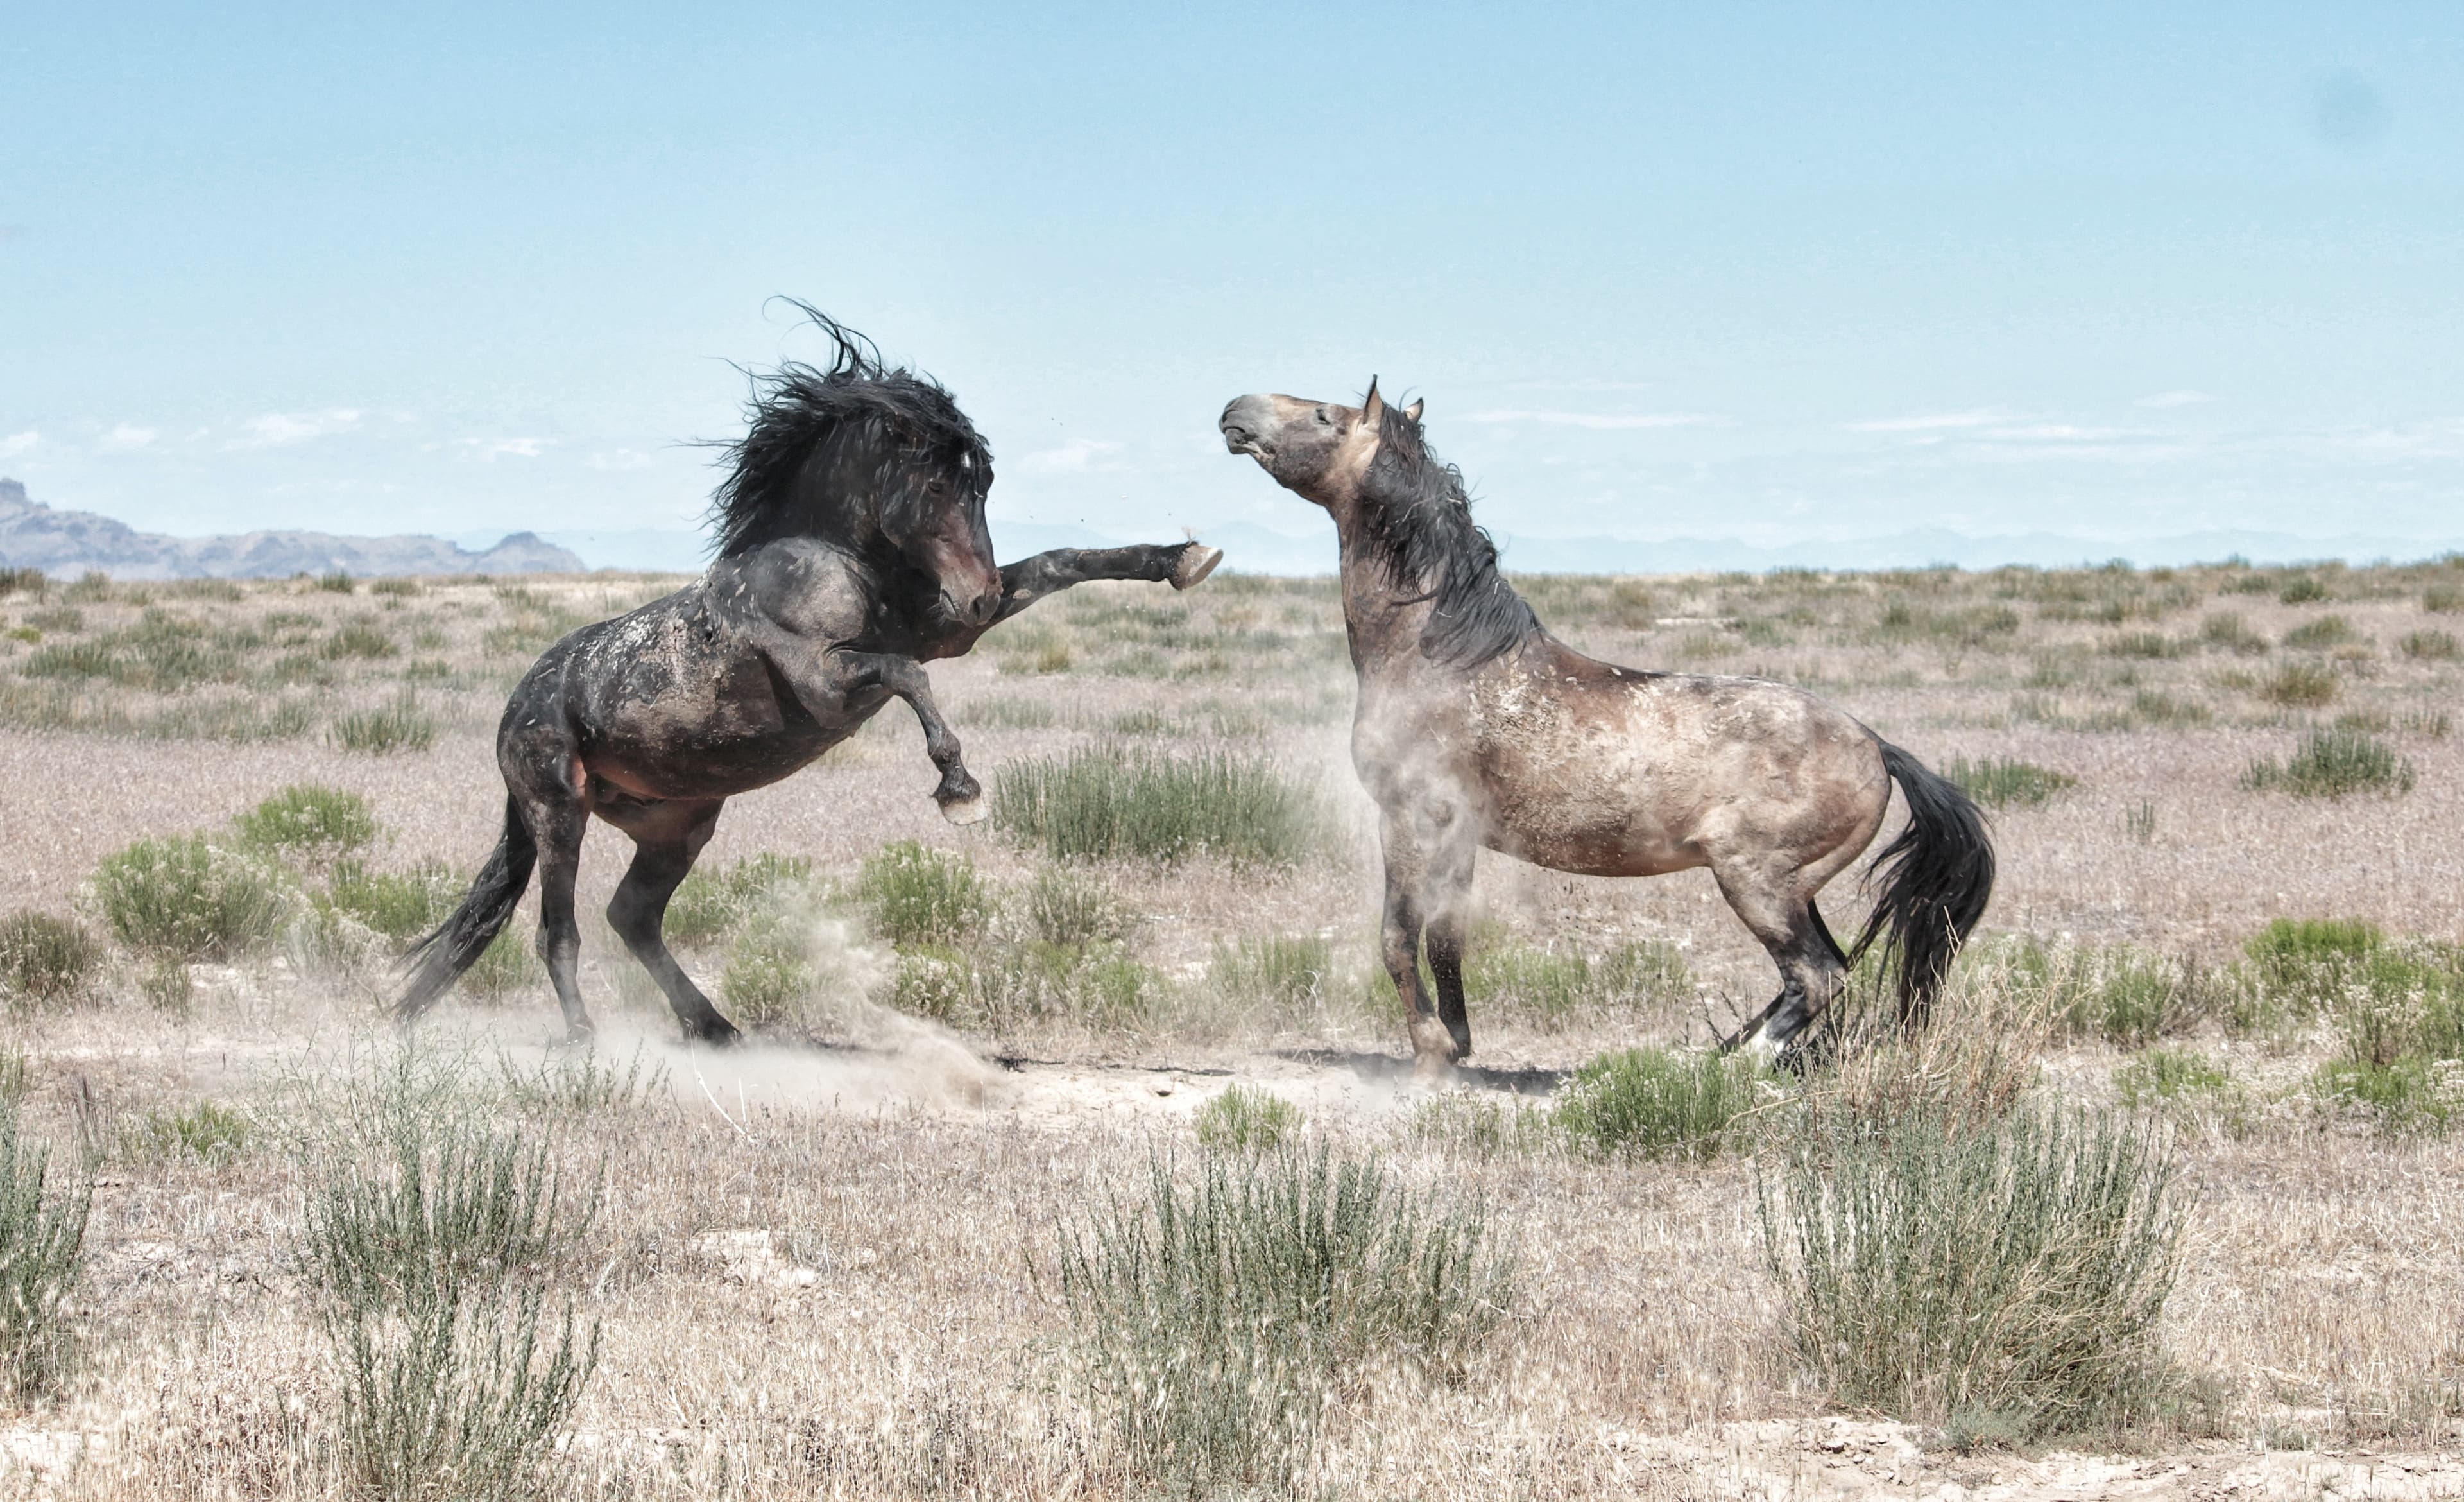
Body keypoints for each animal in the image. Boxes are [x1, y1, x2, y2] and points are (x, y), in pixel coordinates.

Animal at [397, 312, 1222, 1044]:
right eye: (933, 487)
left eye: (984, 481)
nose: (978, 594)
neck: (820, 560)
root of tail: (517, 704)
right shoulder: (832, 685)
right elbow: (907, 675)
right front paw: (960, 789)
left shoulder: (946, 632)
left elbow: (1060, 563)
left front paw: (1185, 558)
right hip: (559, 812)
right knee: (558, 932)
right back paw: (583, 1040)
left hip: (678, 825)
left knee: (631, 918)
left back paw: (715, 1028)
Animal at [1218, 380, 1991, 1074]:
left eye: (1325, 415)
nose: (1235, 410)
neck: (1440, 656)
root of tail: (1877, 748)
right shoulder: (1457, 838)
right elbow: (1446, 937)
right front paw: (1460, 1042)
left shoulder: (1411, 821)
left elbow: (1397, 939)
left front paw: (1431, 1052)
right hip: (1797, 890)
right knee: (1820, 969)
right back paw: (1715, 1052)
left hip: (1758, 883)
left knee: (1816, 976)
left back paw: (1727, 1071)